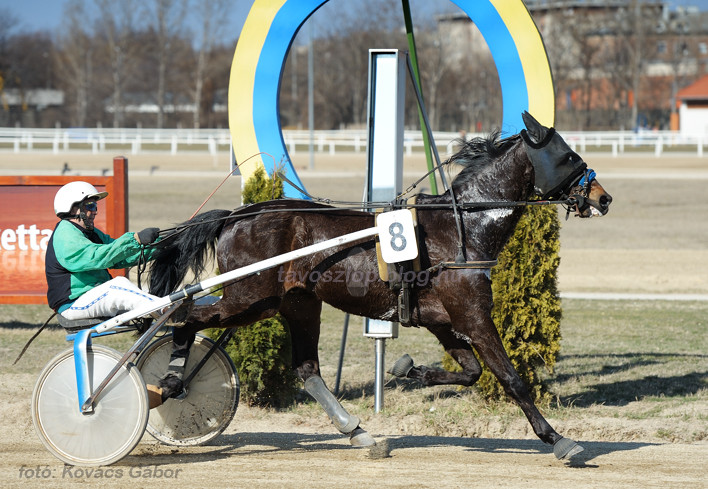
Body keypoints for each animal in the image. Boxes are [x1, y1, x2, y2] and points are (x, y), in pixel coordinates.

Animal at [147, 112, 612, 460]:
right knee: (186, 318)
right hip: (248, 299)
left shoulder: (446, 322)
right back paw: (171, 382)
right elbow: (510, 378)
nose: (603, 197)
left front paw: (409, 369)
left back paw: (358, 432)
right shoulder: (473, 316)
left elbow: (472, 371)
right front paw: (558, 439)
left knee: (307, 370)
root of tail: (236, 216)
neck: (462, 229)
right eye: (569, 155)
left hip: (296, 304)